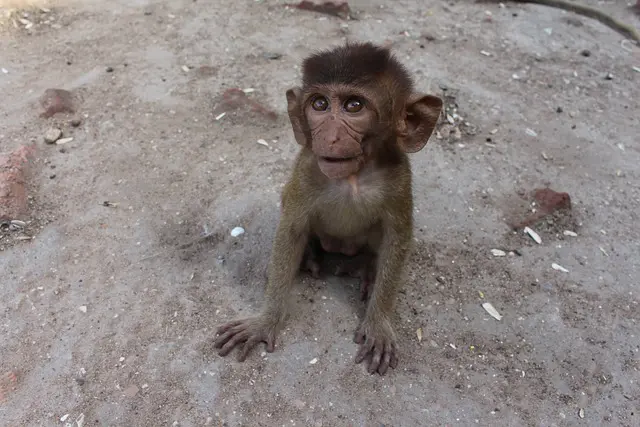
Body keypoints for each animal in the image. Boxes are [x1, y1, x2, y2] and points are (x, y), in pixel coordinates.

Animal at [213, 42, 443, 375]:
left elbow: (397, 238)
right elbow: (291, 230)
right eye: (319, 104)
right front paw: (266, 320)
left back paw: (368, 268)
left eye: (354, 106)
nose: (330, 136)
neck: (352, 177)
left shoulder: (399, 178)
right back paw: (311, 255)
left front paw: (378, 323)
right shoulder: (307, 169)